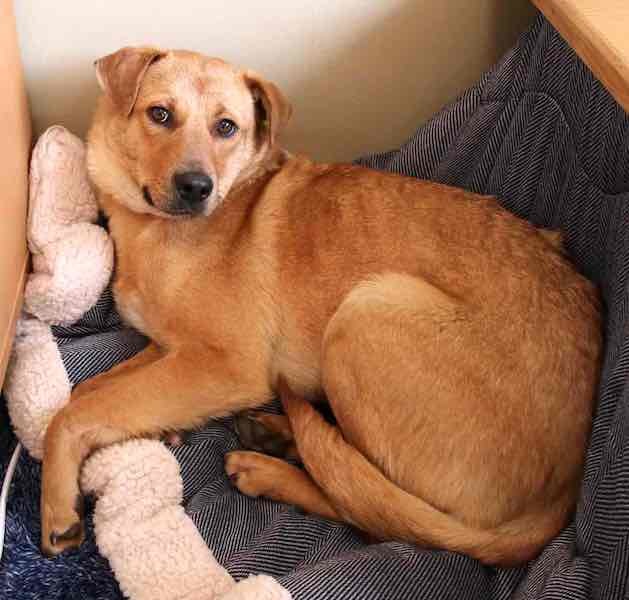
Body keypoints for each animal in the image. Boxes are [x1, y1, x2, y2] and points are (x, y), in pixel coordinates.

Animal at [40, 46, 602, 566]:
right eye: (159, 114)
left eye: (227, 127)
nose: (197, 187)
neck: (153, 226)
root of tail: (565, 492)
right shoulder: (172, 351)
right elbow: (91, 391)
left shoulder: (224, 365)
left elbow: (72, 414)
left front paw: (56, 506)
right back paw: (276, 434)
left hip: (365, 312)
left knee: (374, 513)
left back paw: (268, 468)